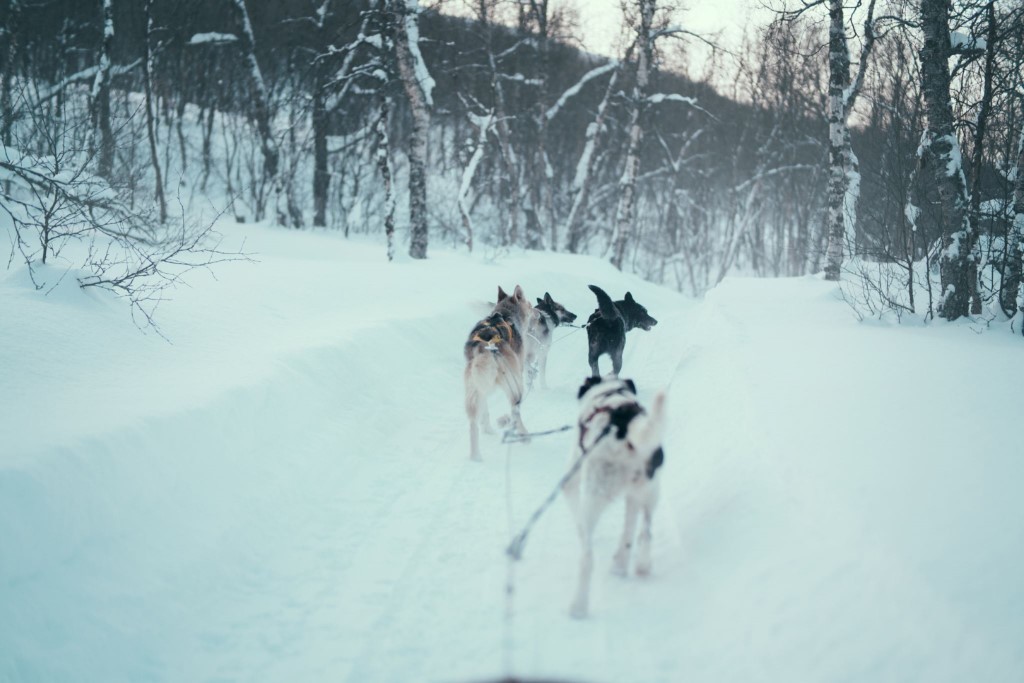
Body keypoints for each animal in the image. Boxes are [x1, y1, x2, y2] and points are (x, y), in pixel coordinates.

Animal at [462, 286, 532, 462]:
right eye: (530, 304)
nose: (537, 312)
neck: (505, 314)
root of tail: (486, 347)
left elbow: (485, 411)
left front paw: (487, 428)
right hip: (514, 386)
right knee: (515, 411)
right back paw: (524, 435)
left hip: (473, 390)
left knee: (473, 424)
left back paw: (476, 456)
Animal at [561, 376, 663, 618]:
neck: (610, 391)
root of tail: (623, 428)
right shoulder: (634, 496)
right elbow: (630, 531)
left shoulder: (570, 483)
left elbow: (579, 522)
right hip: (649, 490)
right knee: (644, 532)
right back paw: (634, 565)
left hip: (594, 495)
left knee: (587, 557)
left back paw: (578, 606)